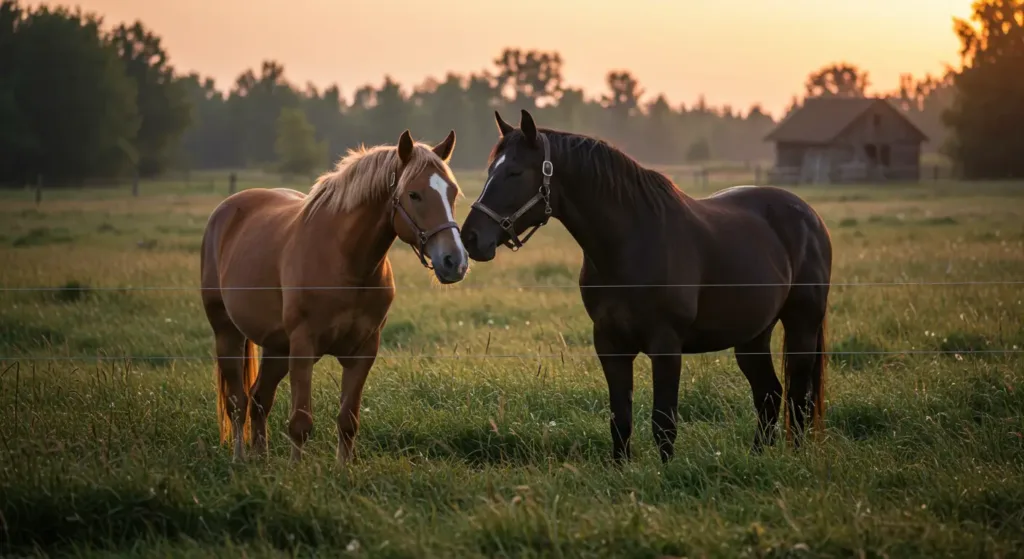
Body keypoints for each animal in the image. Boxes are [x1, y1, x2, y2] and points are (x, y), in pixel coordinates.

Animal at [200, 129, 468, 463]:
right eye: (414, 195)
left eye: (452, 193)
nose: (454, 261)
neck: (345, 261)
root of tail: (226, 210)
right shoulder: (303, 347)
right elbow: (300, 422)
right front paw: (297, 471)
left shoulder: (363, 351)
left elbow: (348, 420)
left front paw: (344, 468)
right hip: (227, 333)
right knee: (237, 402)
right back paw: (240, 458)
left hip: (277, 346)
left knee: (260, 397)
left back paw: (261, 459)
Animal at [460, 110, 832, 463]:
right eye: (491, 170)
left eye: (515, 172)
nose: (471, 238)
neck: (630, 244)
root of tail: (810, 216)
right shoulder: (609, 344)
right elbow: (620, 420)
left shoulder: (665, 345)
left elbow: (663, 422)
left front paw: (666, 473)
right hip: (752, 335)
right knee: (769, 395)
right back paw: (757, 459)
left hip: (802, 325)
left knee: (798, 397)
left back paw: (795, 459)